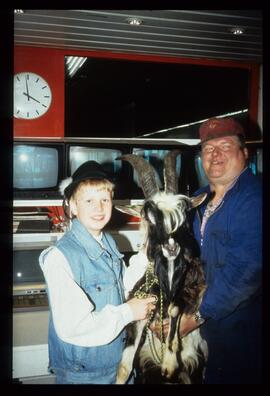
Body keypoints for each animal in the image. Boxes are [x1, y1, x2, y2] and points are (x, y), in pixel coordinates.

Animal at [115, 151, 207, 384]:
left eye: (184, 213)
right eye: (149, 218)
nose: (171, 247)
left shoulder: (188, 290)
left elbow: (175, 308)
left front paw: (169, 362)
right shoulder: (140, 308)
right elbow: (124, 368)